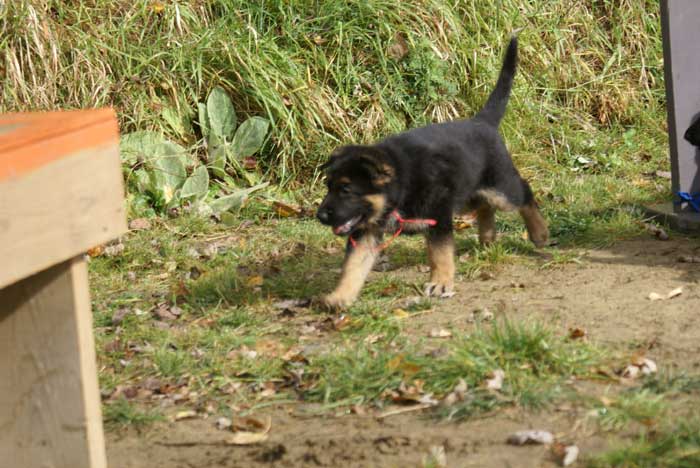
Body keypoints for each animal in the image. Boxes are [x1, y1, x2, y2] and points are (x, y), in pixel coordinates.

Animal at [316, 34, 548, 308]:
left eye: (346, 189)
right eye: (328, 187)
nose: (320, 216)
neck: (401, 184)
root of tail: (482, 122)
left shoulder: (438, 217)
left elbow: (440, 254)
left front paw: (440, 283)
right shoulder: (365, 232)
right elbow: (353, 267)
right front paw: (339, 296)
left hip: (500, 188)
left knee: (523, 191)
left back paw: (539, 233)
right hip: (466, 193)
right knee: (483, 206)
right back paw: (487, 238)